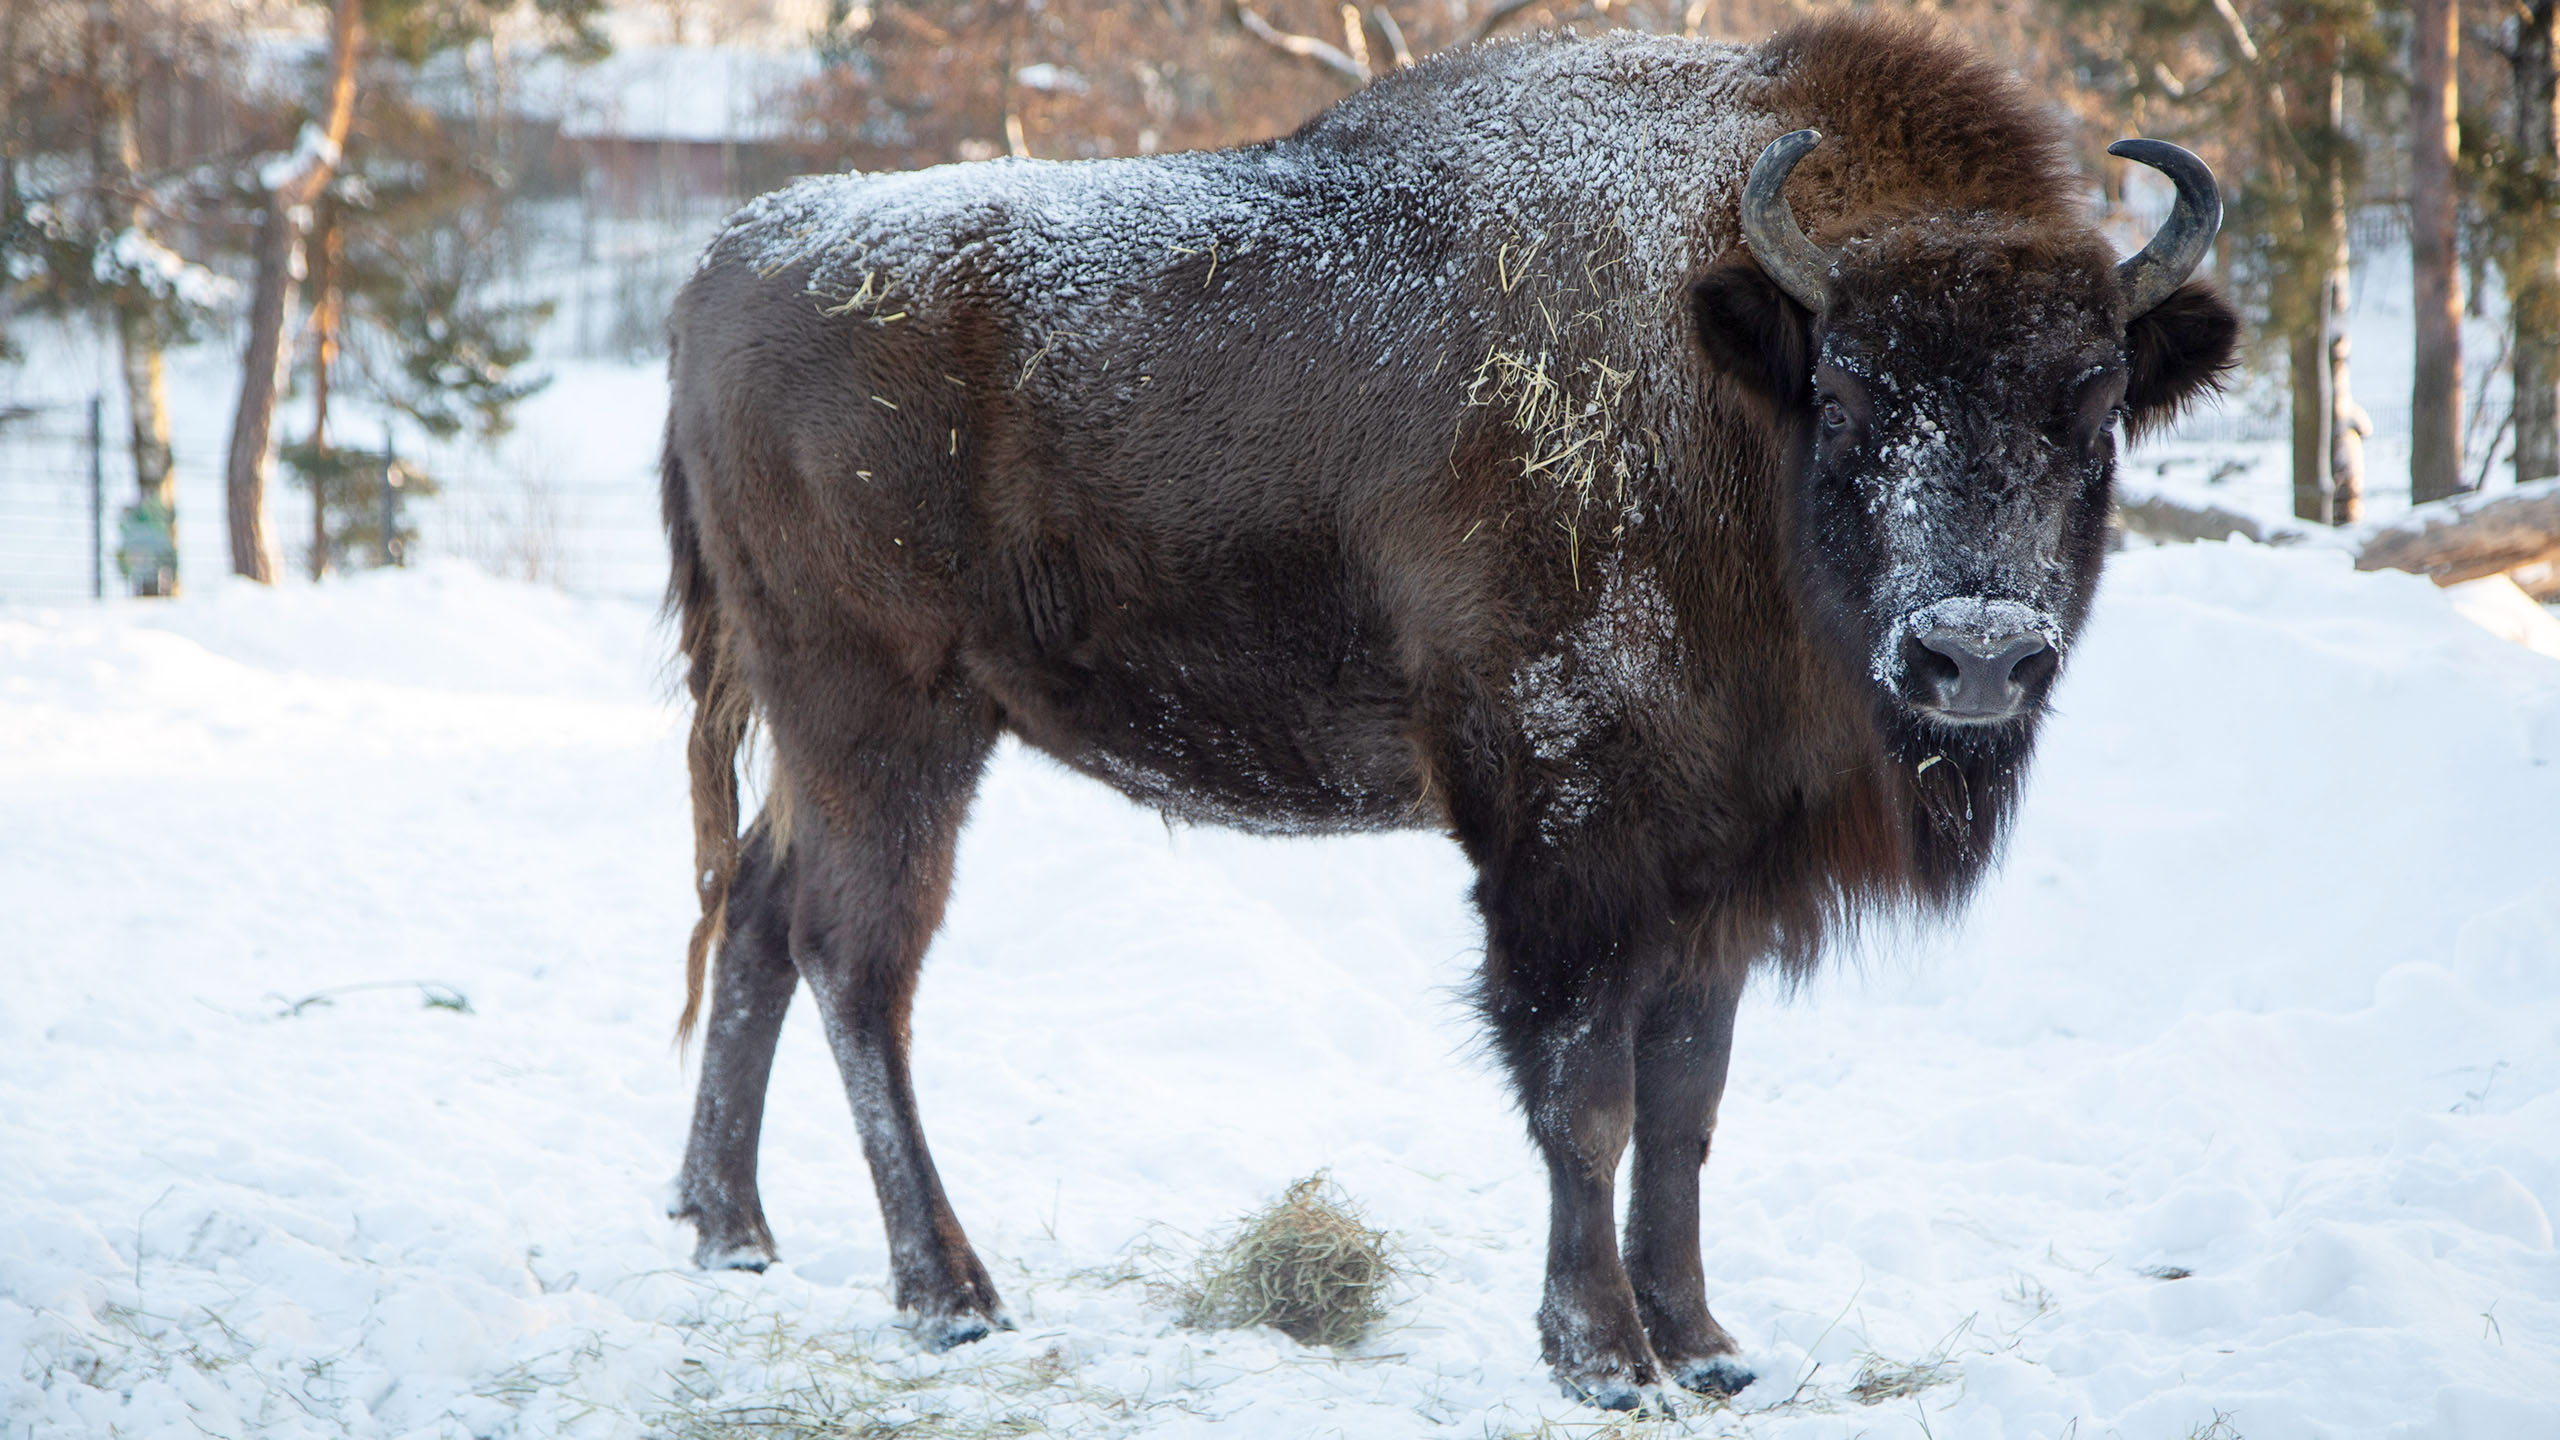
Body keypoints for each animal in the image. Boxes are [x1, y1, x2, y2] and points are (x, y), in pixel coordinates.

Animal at [660, 8, 2242, 1404]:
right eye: (1848, 391)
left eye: (2091, 400)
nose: (1974, 652)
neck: (1724, 378)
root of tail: (736, 256)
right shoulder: (1567, 842)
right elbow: (1587, 1096)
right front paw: (1604, 1359)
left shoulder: (1718, 870)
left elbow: (1687, 1104)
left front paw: (1706, 1346)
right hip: (886, 721)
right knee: (854, 959)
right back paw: (948, 1296)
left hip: (839, 734)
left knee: (759, 914)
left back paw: (729, 1231)